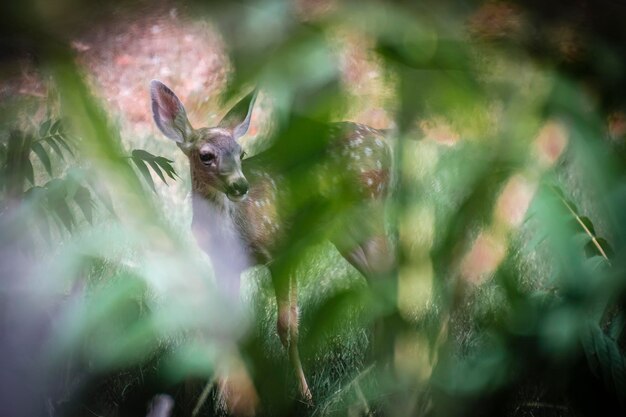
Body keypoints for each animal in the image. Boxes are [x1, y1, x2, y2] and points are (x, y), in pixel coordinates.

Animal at [149, 79, 392, 412]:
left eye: (241, 153)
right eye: (206, 155)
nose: (240, 186)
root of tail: (381, 138)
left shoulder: (280, 248)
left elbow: (287, 327)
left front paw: (305, 395)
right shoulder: (223, 264)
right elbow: (225, 323)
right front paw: (223, 401)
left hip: (370, 207)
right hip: (344, 232)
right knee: (377, 277)